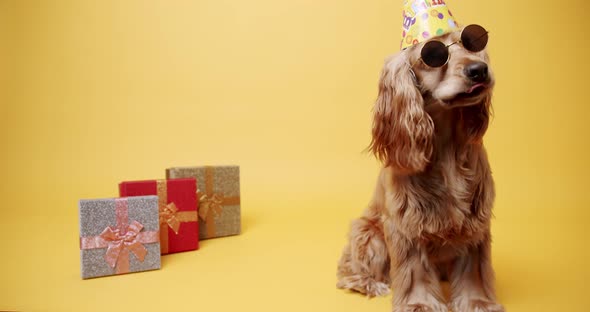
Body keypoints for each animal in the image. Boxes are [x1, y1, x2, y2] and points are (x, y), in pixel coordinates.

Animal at [338, 26, 504, 312]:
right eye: (433, 55)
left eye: (470, 43)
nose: (479, 69)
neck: (446, 145)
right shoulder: (408, 221)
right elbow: (414, 269)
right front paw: (420, 304)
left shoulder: (475, 217)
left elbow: (473, 267)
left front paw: (478, 301)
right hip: (367, 233)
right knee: (349, 270)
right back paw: (372, 283)